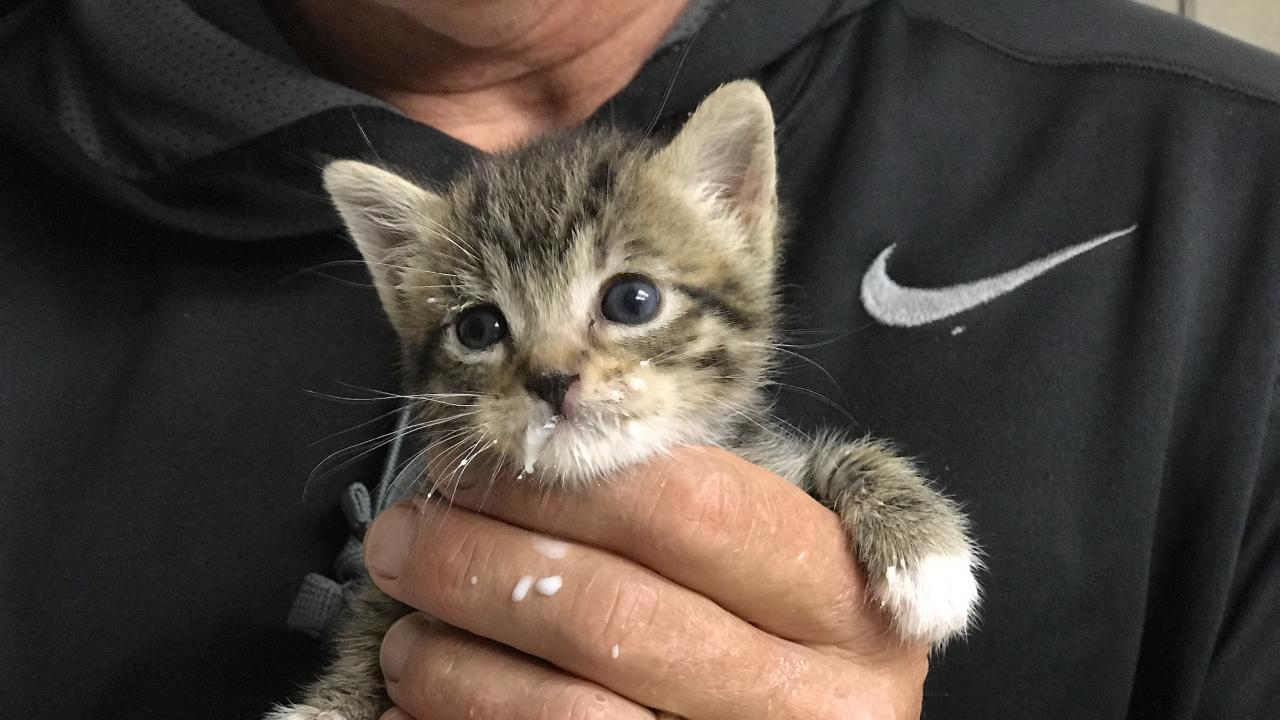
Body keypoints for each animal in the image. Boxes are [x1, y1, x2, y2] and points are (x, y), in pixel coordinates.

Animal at [270, 79, 977, 717]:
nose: (552, 378)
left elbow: (839, 457)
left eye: (632, 300)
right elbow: (368, 628)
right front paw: (327, 707)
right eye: (477, 329)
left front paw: (928, 558)